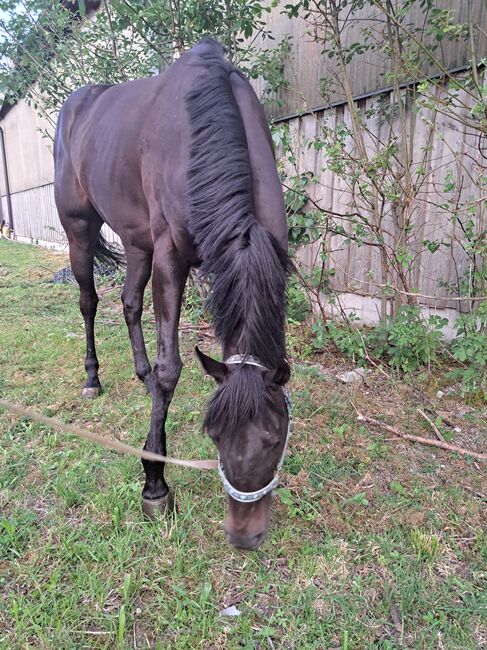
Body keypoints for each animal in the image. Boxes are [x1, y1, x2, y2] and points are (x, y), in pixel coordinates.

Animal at [56, 38, 294, 548]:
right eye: (214, 436)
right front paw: (154, 482)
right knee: (89, 303)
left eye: (274, 437)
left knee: (129, 303)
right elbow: (172, 369)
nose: (244, 536)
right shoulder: (169, 256)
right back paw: (92, 378)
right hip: (80, 232)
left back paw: (140, 374)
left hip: (136, 242)